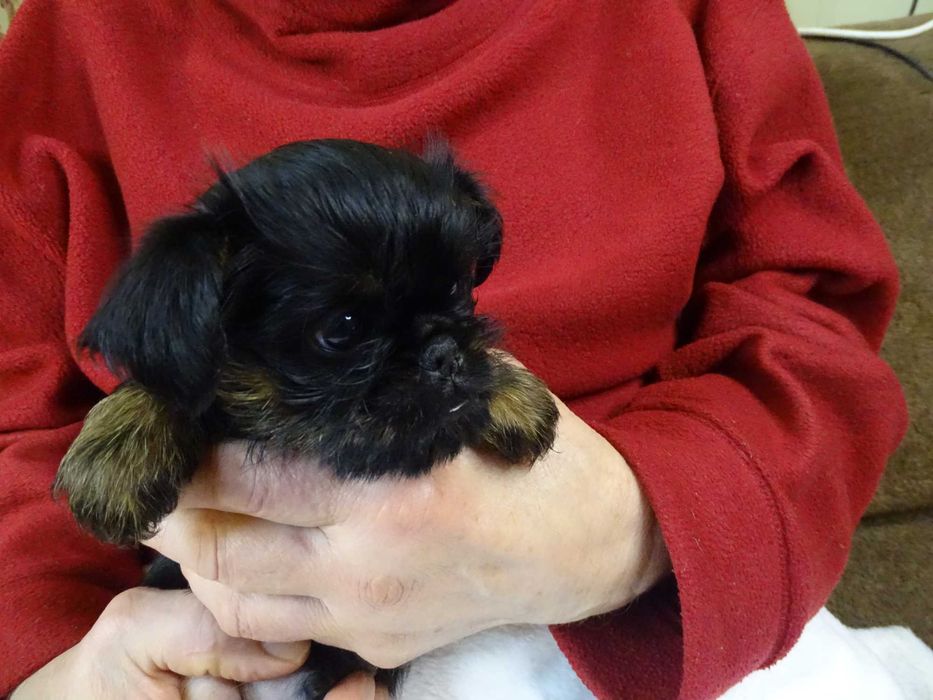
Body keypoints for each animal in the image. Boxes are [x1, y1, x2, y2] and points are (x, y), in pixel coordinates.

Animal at [54, 139, 596, 698]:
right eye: (342, 329)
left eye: (456, 290)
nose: (443, 353)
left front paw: (511, 394)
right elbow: (174, 381)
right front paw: (115, 454)